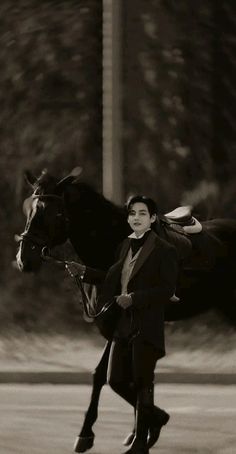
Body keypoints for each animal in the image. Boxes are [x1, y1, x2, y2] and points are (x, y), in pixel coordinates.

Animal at [15, 168, 236, 452]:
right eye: (30, 210)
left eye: (53, 213)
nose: (24, 259)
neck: (112, 246)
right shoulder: (116, 327)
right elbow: (112, 376)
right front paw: (138, 429)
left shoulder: (121, 322)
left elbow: (112, 377)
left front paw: (146, 424)